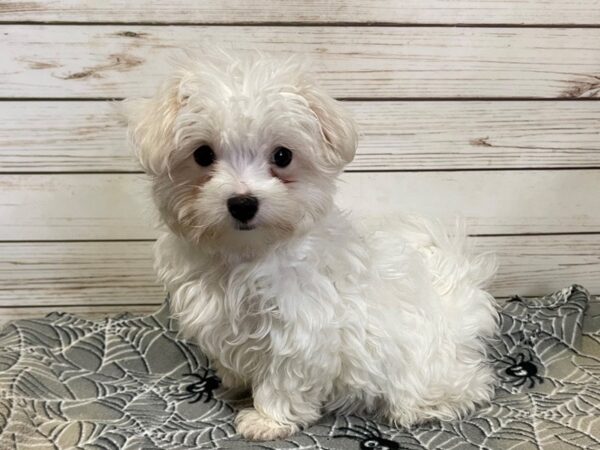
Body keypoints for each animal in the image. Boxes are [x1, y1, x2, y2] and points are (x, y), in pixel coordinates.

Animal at [124, 49, 500, 440]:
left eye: (282, 156)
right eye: (202, 155)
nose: (243, 203)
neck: (245, 255)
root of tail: (457, 301)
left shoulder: (301, 331)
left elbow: (283, 378)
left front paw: (268, 419)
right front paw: (234, 386)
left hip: (424, 370)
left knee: (471, 384)